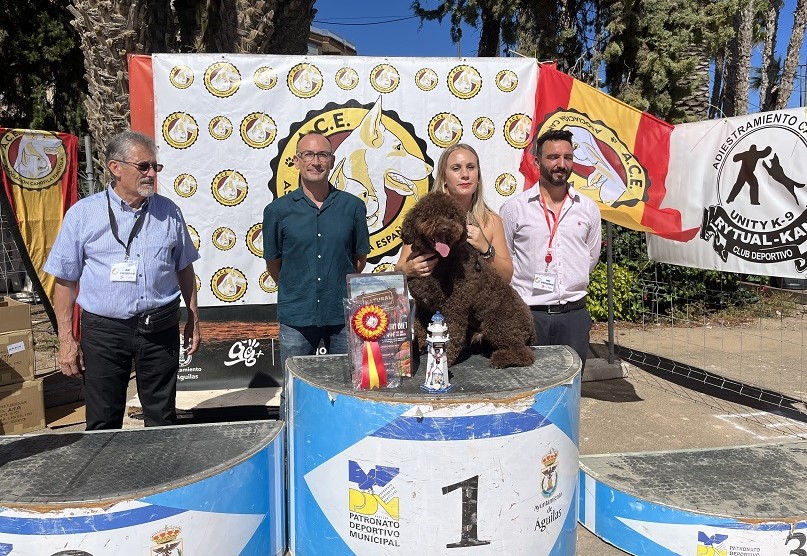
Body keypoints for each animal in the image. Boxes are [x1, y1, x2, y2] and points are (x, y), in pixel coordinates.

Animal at [402, 193, 536, 368]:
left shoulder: (454, 307)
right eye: (430, 214)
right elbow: (420, 328)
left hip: (496, 323)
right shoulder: (423, 306)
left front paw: (445, 357)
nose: (445, 228)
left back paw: (500, 359)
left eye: (451, 216)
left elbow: (451, 332)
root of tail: (531, 327)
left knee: (524, 353)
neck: (440, 261)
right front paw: (421, 348)